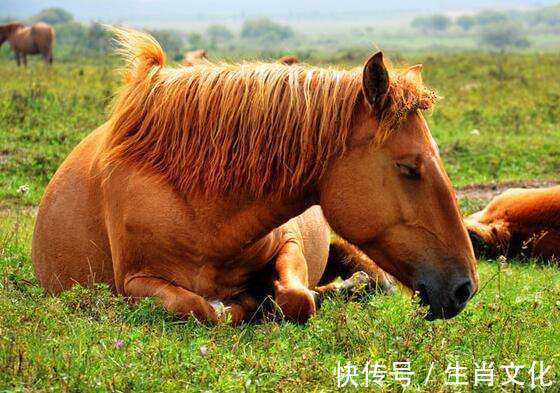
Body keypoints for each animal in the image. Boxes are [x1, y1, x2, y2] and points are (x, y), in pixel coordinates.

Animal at [31, 26, 476, 322]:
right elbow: (202, 308)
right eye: (409, 168)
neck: (202, 214)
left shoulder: (290, 242)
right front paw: (246, 301)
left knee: (369, 280)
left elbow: (298, 298)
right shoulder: (134, 282)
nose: (465, 287)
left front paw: (268, 297)